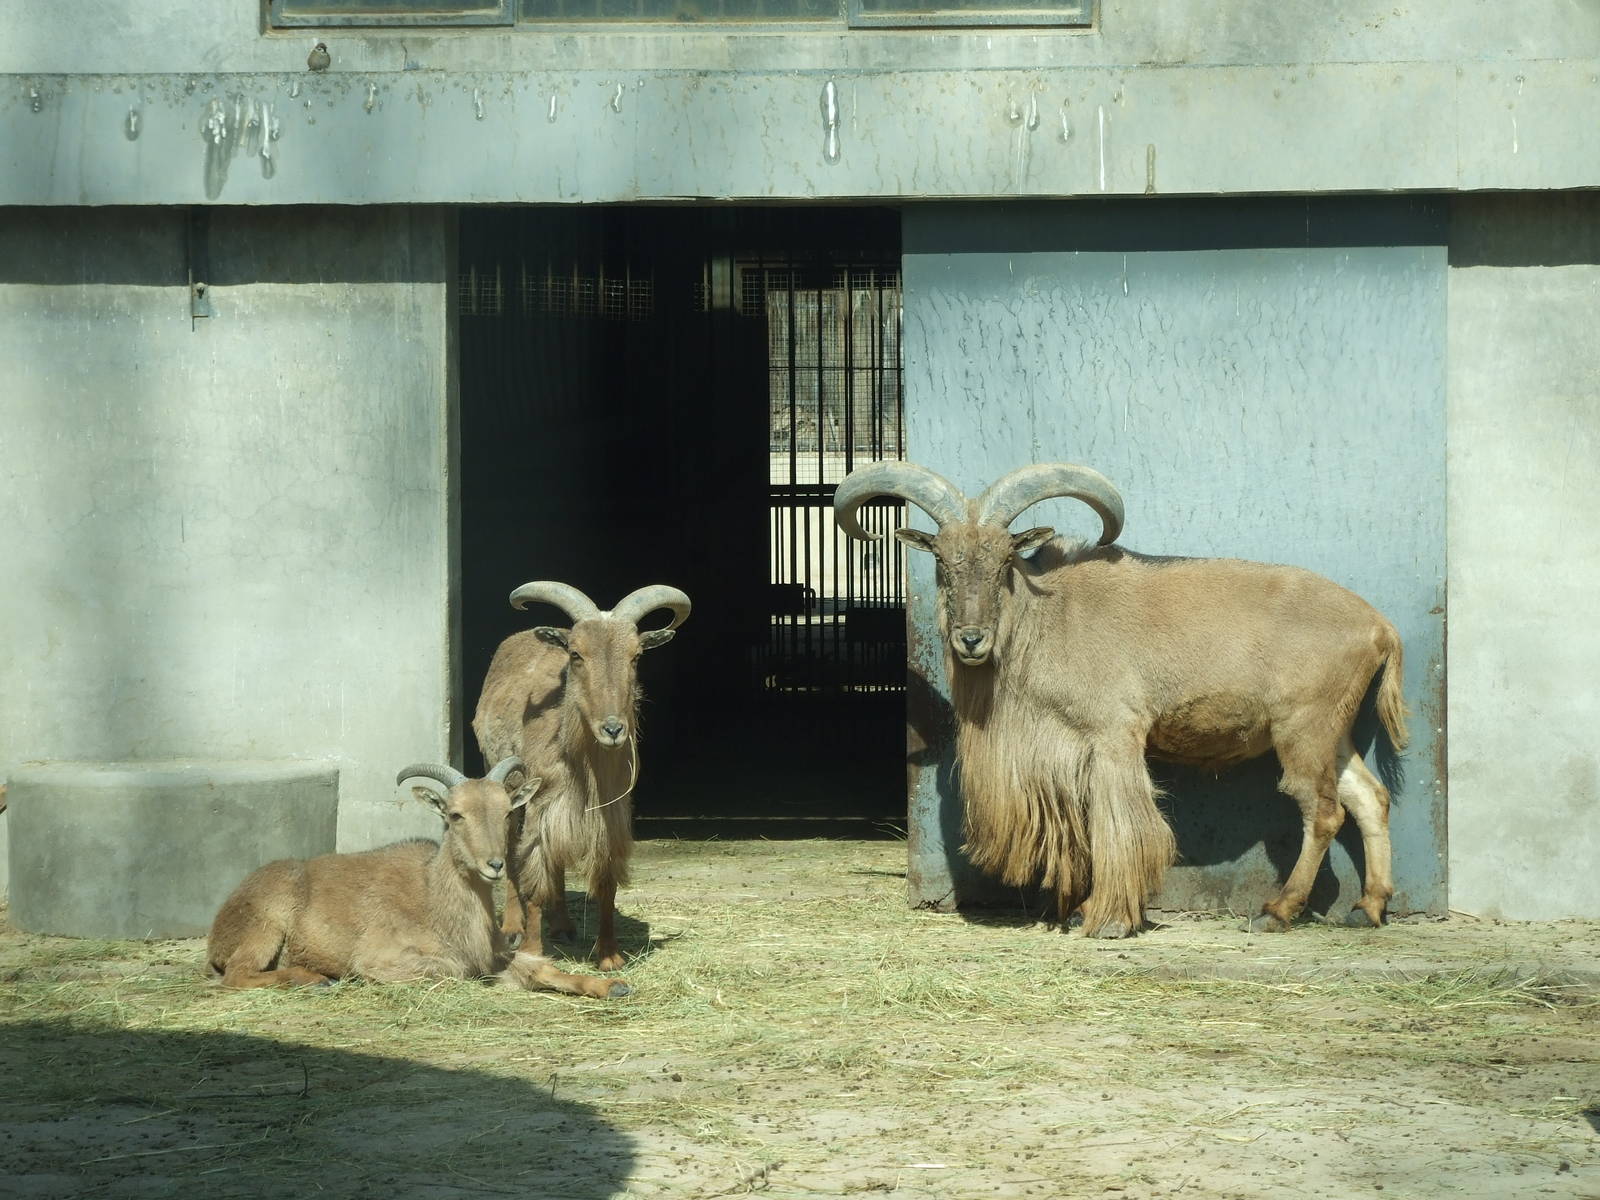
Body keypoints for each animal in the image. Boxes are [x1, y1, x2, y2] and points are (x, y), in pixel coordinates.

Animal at [206, 756, 630, 997]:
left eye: (507, 811)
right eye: (455, 814)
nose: (494, 864)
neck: (434, 895)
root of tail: (219, 929)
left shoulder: (495, 952)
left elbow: (541, 966)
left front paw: (612, 986)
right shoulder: (383, 956)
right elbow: (454, 970)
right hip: (266, 926)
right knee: (237, 975)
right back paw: (313, 980)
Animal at [474, 581, 691, 970]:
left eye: (636, 656)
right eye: (576, 654)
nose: (613, 729)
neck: (584, 764)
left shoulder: (610, 818)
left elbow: (605, 883)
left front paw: (610, 956)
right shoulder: (541, 808)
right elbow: (534, 877)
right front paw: (533, 952)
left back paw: (562, 925)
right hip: (503, 782)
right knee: (511, 852)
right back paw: (513, 927)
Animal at [835, 460, 1409, 940]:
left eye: (1003, 561)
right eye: (941, 561)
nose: (971, 640)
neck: (1048, 618)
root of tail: (1380, 626)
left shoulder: (1113, 738)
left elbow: (1117, 824)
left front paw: (1105, 918)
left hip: (1303, 729)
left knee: (1323, 811)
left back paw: (1278, 910)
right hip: (1333, 733)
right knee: (1370, 797)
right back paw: (1368, 908)